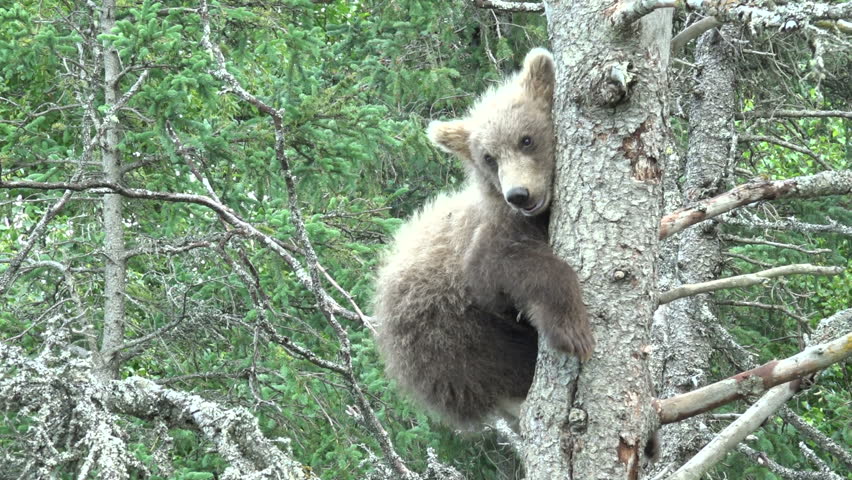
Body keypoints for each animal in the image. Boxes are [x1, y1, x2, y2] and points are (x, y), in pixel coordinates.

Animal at [373, 48, 594, 428]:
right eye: (489, 158)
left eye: (526, 139)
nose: (518, 194)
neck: (540, 216)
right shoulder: (489, 240)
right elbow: (501, 266)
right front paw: (574, 330)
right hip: (455, 342)